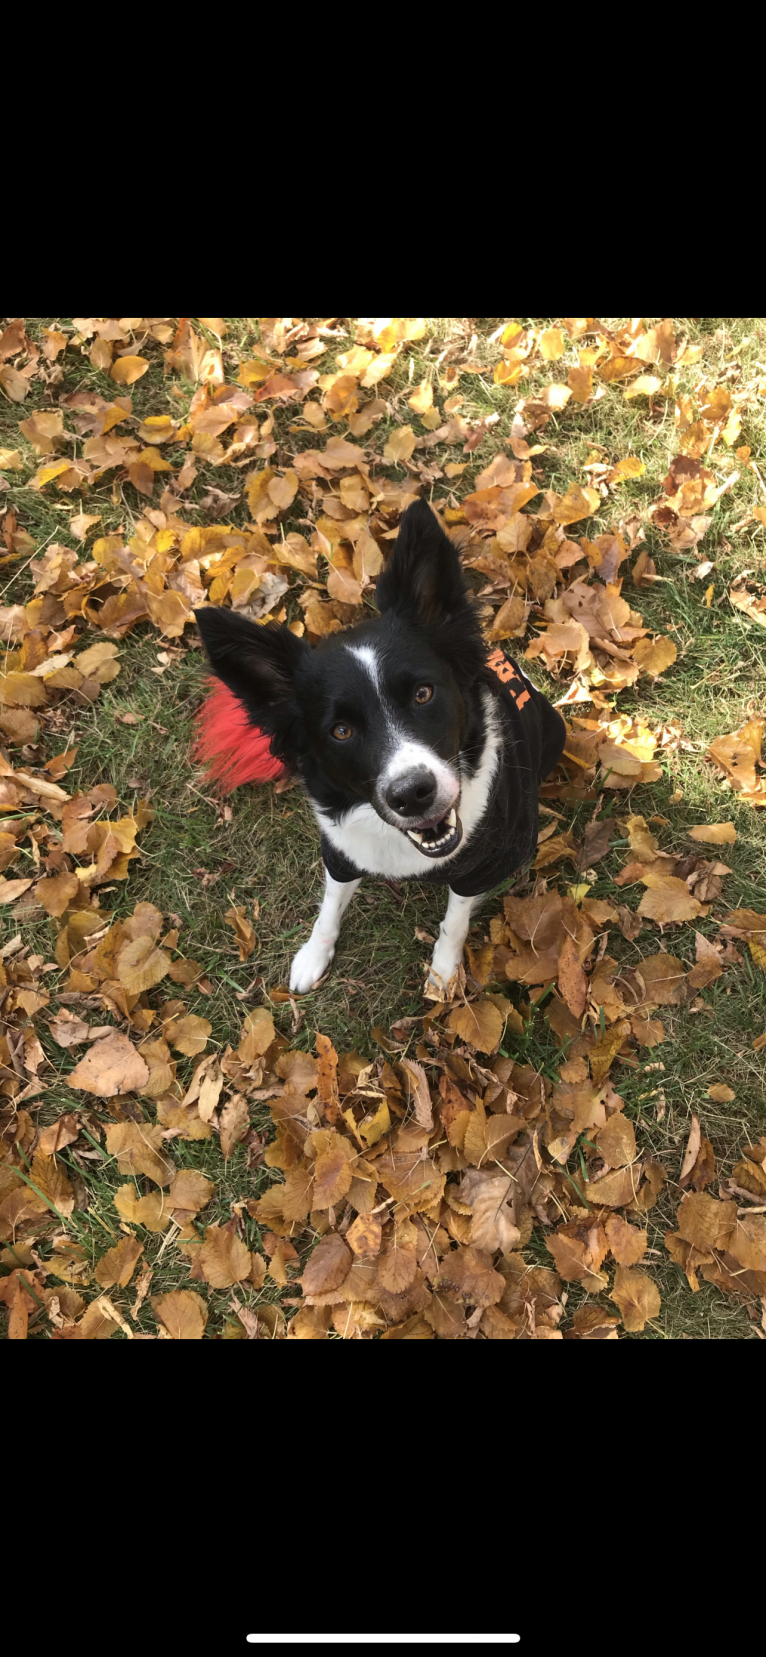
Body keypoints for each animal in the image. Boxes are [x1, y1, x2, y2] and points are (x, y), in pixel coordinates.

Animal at [194, 497, 567, 994]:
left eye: (423, 694)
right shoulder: (341, 853)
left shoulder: (480, 868)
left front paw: (444, 973)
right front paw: (314, 956)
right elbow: (329, 907)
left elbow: (455, 921)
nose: (412, 794)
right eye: (341, 731)